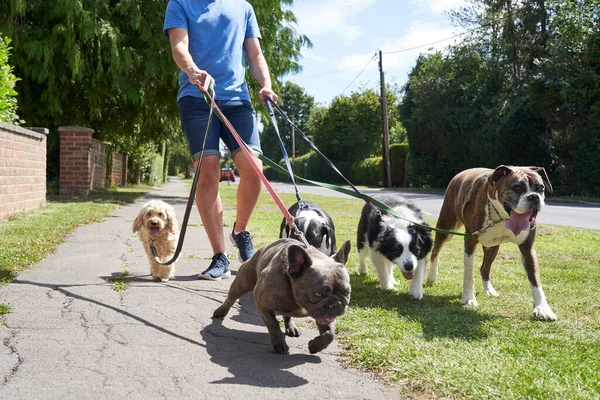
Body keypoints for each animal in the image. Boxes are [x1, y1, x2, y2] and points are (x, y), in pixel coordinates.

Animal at [424, 167, 556, 320]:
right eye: (517, 187)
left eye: (541, 188)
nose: (534, 197)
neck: (502, 217)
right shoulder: (470, 241)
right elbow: (469, 274)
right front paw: (469, 298)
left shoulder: (527, 248)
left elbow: (535, 279)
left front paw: (543, 308)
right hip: (446, 227)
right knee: (435, 251)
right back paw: (431, 277)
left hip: (492, 247)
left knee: (484, 268)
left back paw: (489, 290)